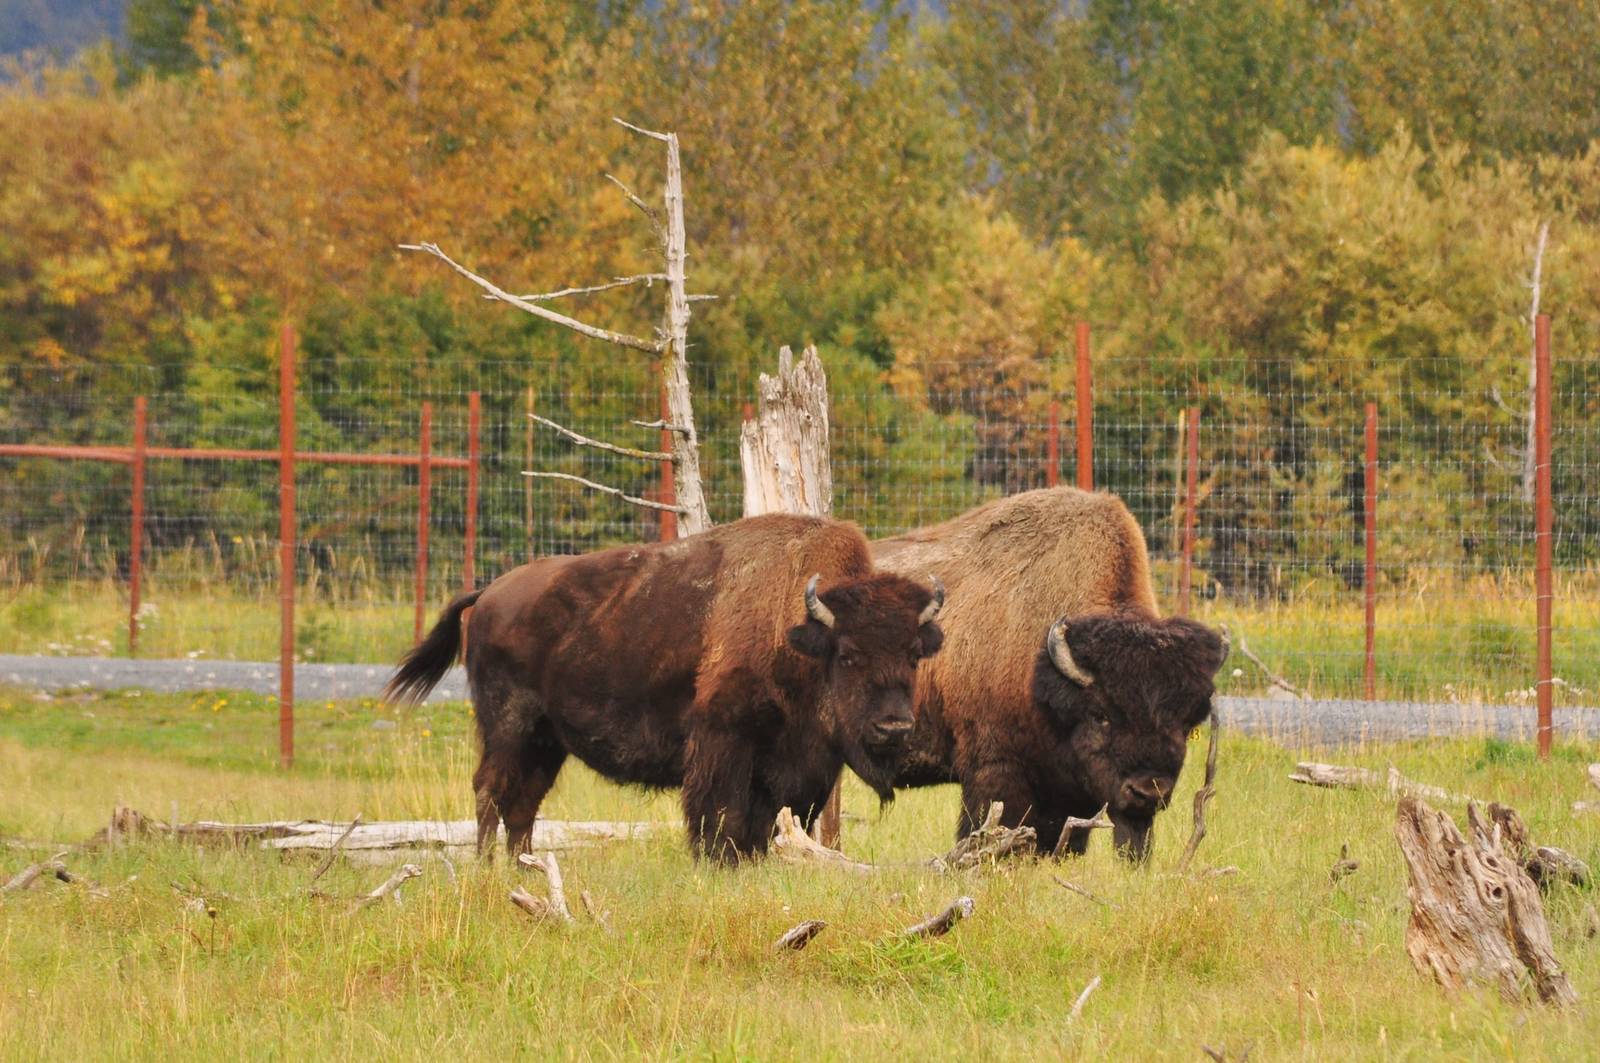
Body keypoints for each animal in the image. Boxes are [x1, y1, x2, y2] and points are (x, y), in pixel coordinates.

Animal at [385, 514, 945, 863]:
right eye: (847, 654)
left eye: (914, 655)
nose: (894, 727)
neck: (797, 631)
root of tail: (489, 593)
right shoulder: (723, 746)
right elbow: (722, 820)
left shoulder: (801, 772)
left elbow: (773, 825)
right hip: (507, 725)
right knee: (491, 792)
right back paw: (485, 869)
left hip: (546, 739)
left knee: (522, 804)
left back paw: (521, 870)